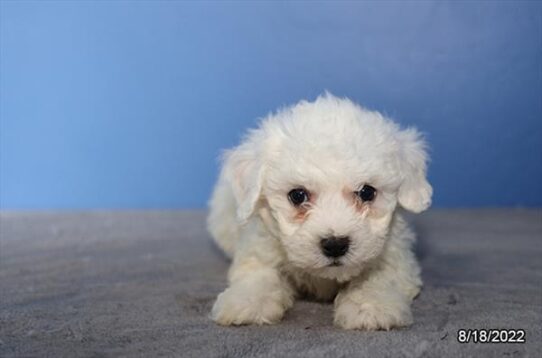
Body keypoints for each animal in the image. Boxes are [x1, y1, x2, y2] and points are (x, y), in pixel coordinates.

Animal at [208, 93, 434, 330]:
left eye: (366, 192)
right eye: (298, 195)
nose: (335, 245)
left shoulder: (397, 257)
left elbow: (380, 277)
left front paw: (371, 305)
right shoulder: (259, 248)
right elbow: (259, 274)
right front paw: (246, 301)